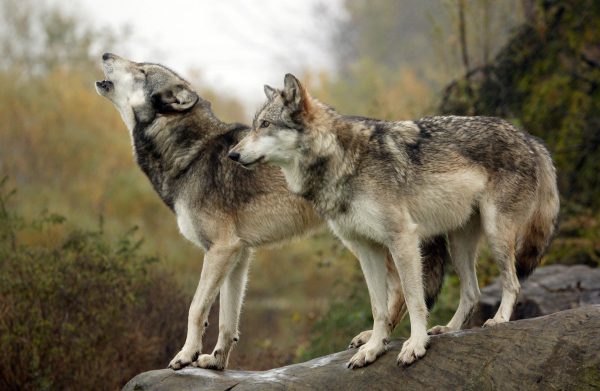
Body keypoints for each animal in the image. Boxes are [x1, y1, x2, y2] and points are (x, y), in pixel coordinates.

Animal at [94, 54, 450, 370]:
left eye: (141, 70)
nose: (106, 53)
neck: (192, 153)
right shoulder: (238, 254)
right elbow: (228, 320)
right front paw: (216, 361)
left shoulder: (220, 249)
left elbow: (196, 309)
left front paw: (185, 356)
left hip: (371, 238)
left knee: (403, 290)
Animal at [229, 74, 556, 370]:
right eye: (254, 125)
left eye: (265, 125)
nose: (232, 154)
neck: (340, 159)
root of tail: (530, 138)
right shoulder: (366, 248)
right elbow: (378, 308)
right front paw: (373, 349)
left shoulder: (403, 238)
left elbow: (413, 299)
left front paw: (415, 345)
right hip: (458, 243)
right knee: (472, 291)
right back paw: (449, 329)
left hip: (495, 233)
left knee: (512, 282)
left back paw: (498, 320)